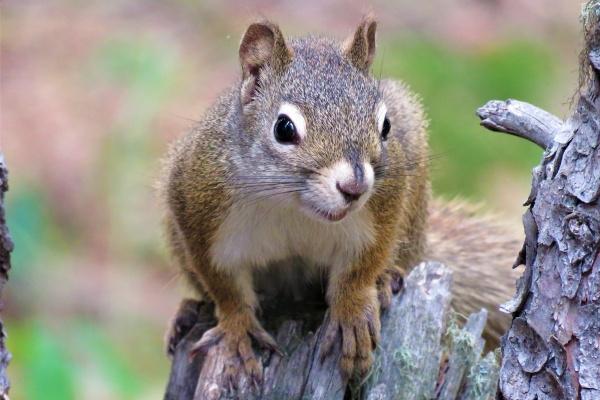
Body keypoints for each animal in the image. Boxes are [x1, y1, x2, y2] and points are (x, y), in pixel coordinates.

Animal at [159, 16, 520, 384]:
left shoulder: (383, 210)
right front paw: (237, 330)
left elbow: (361, 268)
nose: (355, 187)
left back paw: (387, 278)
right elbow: (225, 287)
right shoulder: (199, 209)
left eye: (386, 125)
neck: (292, 206)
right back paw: (188, 313)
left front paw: (352, 312)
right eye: (283, 128)